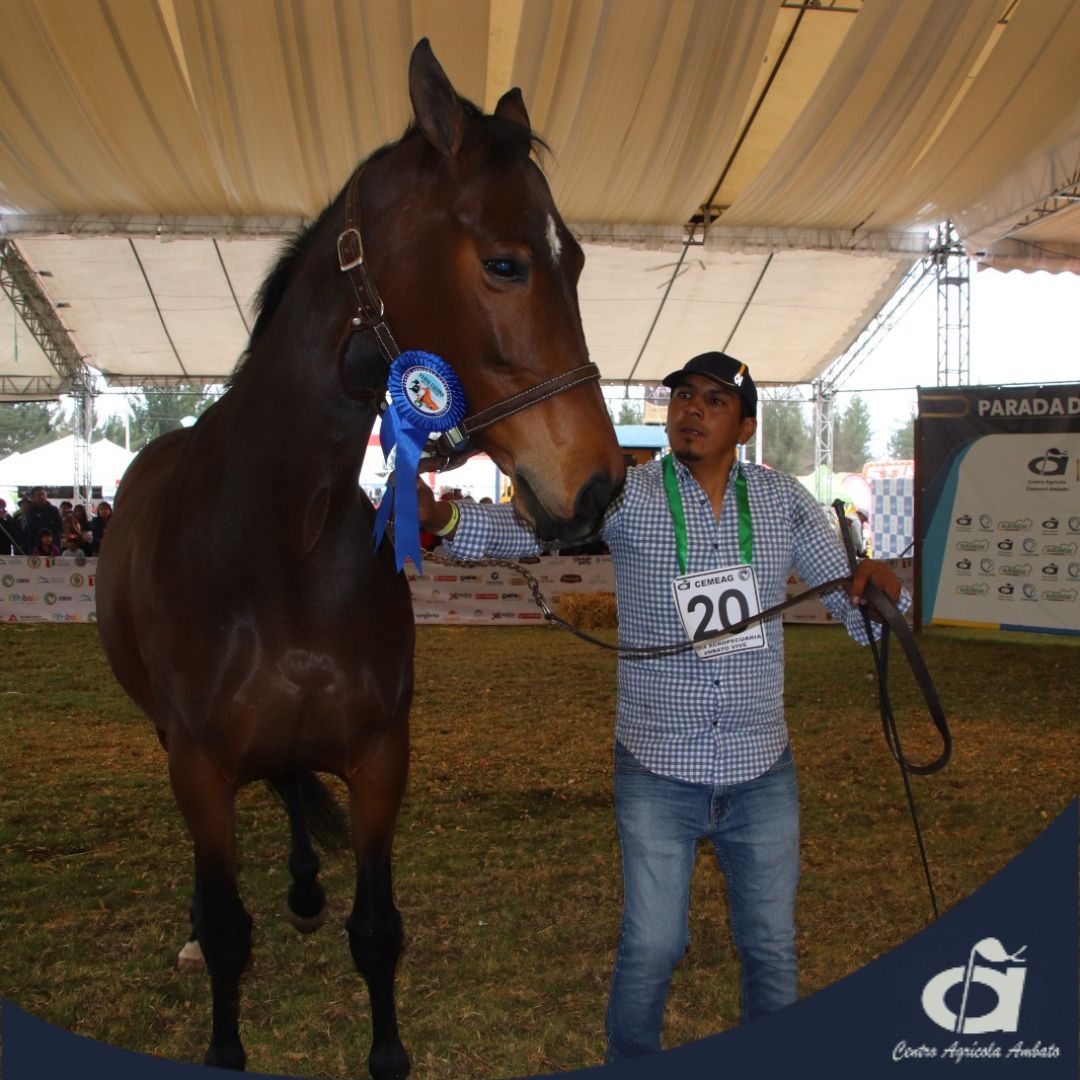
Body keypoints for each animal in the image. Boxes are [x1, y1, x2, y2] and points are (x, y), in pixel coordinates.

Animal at [95, 39, 625, 1080]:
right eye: (505, 263)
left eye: (578, 262)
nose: (597, 486)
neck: (279, 544)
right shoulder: (200, 765)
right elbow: (231, 935)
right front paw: (224, 1033)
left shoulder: (381, 757)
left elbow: (376, 930)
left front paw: (386, 1051)